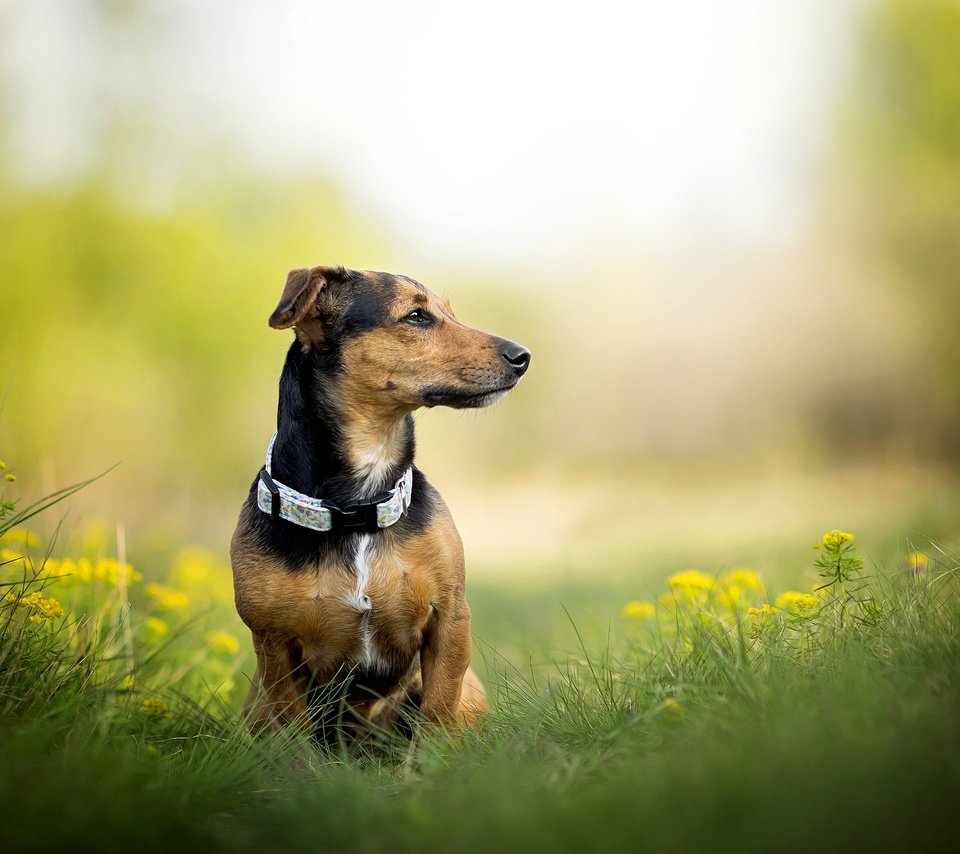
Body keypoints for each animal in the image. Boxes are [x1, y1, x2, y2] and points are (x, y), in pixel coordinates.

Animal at [231, 264, 532, 744]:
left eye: (450, 312)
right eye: (416, 316)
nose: (523, 356)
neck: (356, 509)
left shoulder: (450, 620)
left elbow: (437, 712)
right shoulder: (273, 644)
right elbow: (295, 735)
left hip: (469, 690)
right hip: (257, 699)